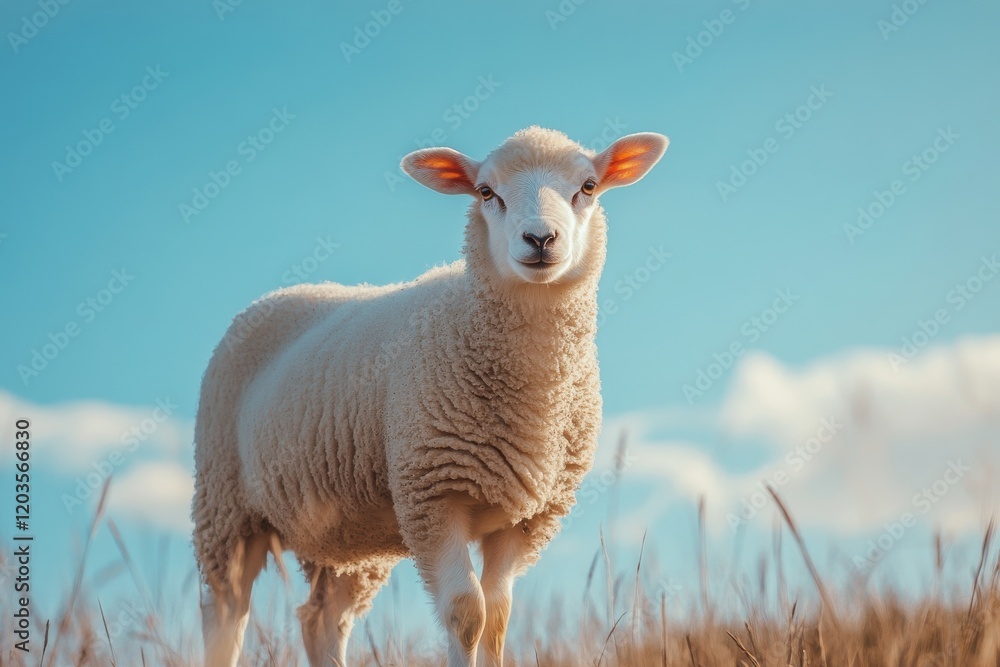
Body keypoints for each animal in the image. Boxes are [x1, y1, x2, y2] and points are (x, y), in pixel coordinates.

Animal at [191, 126, 668, 667]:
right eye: (486, 192)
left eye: (588, 187)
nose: (540, 239)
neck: (535, 401)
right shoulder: (434, 494)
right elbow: (467, 613)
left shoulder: (524, 518)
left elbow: (498, 617)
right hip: (225, 506)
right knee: (224, 617)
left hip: (345, 532)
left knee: (322, 618)